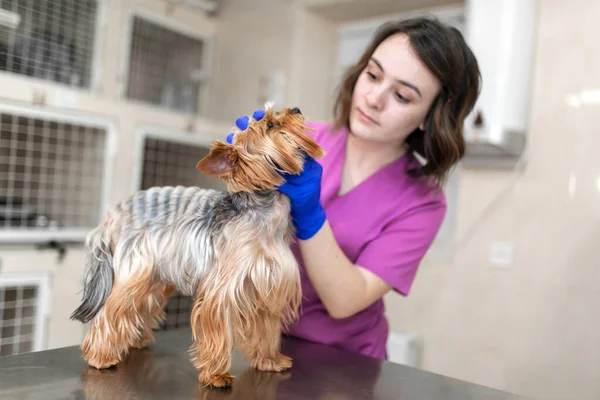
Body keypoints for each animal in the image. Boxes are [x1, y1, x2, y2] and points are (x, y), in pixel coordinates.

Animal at [71, 104, 326, 388]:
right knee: (110, 309)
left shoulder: (269, 284)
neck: (266, 210)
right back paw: (100, 356)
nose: (297, 108)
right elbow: (217, 329)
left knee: (139, 306)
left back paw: (135, 341)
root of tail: (114, 213)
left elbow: (267, 327)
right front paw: (216, 374)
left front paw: (269, 360)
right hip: (136, 269)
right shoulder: (223, 288)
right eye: (271, 124)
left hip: (154, 278)